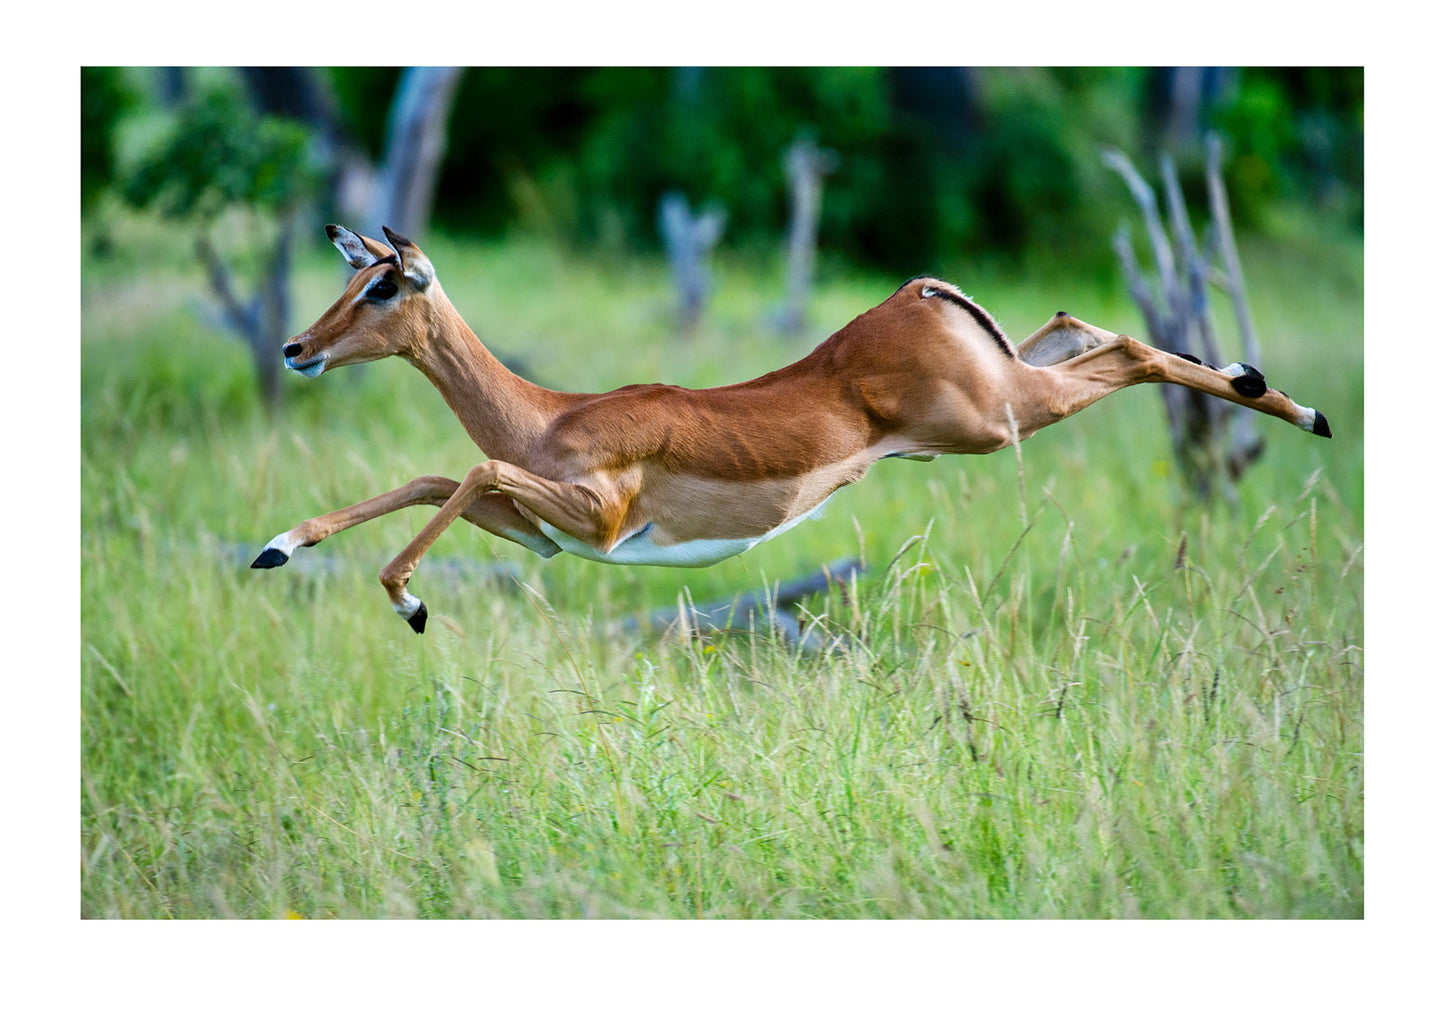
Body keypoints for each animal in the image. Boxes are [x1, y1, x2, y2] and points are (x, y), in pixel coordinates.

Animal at [252, 225, 1331, 633]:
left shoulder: (596, 521)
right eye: (353, 276)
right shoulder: (552, 537)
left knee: (1136, 353)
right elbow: (432, 479)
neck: (548, 414)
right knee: (1084, 325)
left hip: (998, 419)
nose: (297, 347)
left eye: (383, 284)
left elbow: (464, 470)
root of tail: (913, 293)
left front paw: (409, 603)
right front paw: (276, 545)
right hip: (1006, 391)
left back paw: (1305, 409)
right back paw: (1278, 391)